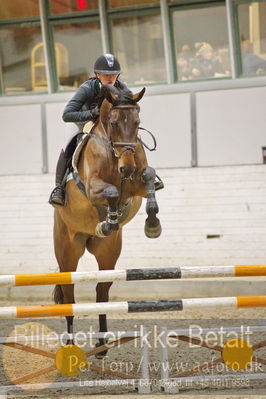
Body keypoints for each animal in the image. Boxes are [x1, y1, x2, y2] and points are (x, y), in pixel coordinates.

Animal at [53, 85, 161, 356]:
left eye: (137, 123)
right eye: (113, 123)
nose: (127, 168)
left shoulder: (135, 185)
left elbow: (148, 176)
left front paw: (153, 225)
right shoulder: (94, 189)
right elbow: (111, 193)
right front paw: (108, 222)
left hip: (108, 254)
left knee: (101, 292)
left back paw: (102, 345)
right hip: (67, 252)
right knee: (69, 298)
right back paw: (70, 346)